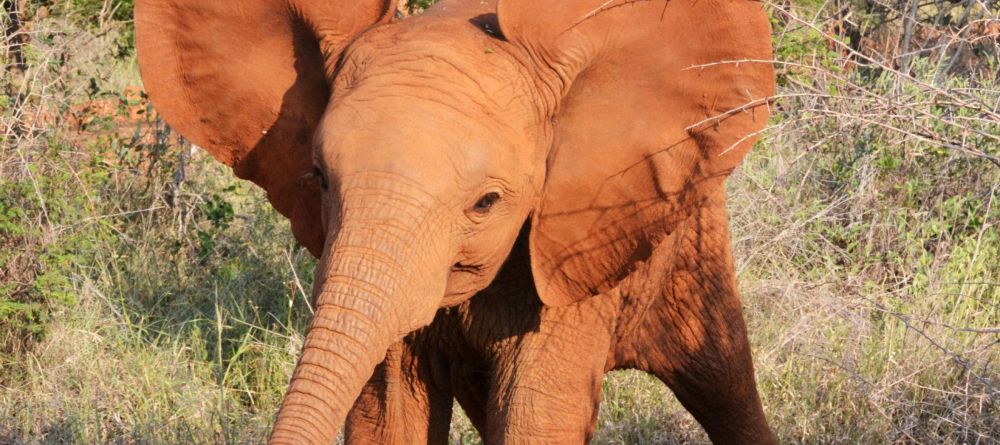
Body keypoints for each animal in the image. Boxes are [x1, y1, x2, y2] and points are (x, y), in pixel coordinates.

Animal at [134, 0, 777, 443]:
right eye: (318, 178)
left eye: (486, 203)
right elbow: (388, 413)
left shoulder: (568, 245)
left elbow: (534, 416)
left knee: (723, 385)